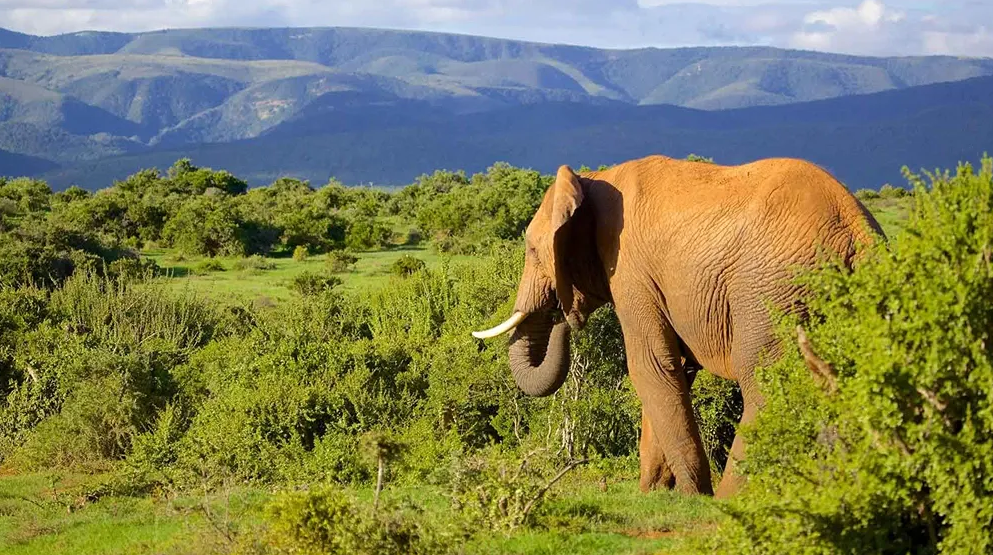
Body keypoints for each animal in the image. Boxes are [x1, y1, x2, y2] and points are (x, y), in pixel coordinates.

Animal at [472, 154, 884, 497]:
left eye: (531, 250)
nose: (562, 316)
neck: (594, 181)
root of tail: (856, 230)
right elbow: (675, 371)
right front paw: (656, 492)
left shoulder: (631, 271)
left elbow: (650, 366)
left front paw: (691, 495)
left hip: (772, 288)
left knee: (763, 381)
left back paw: (730, 498)